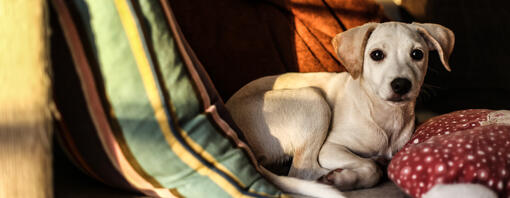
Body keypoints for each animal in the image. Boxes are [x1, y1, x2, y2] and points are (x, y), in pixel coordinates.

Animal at [226, 20, 454, 197]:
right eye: (376, 55)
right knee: (303, 172)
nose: (401, 85)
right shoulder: (330, 148)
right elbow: (371, 168)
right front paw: (348, 177)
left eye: (417, 54)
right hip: (314, 101)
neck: (382, 115)